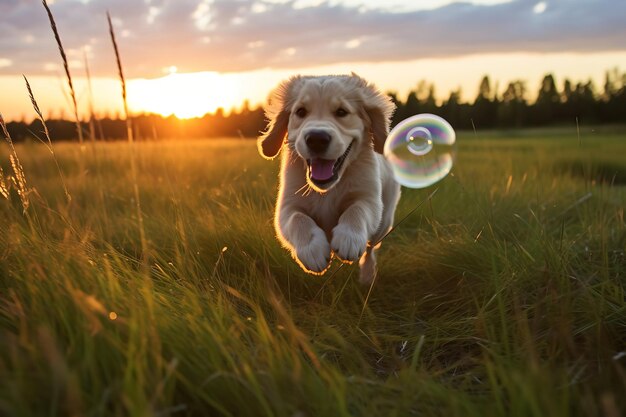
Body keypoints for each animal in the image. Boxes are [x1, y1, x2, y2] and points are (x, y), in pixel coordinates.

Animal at [258, 74, 400, 282]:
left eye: (341, 112)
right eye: (300, 111)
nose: (317, 139)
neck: (327, 189)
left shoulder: (370, 199)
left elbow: (357, 209)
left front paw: (349, 238)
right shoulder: (286, 207)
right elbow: (297, 218)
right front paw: (313, 250)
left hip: (384, 221)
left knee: (371, 248)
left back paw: (367, 275)